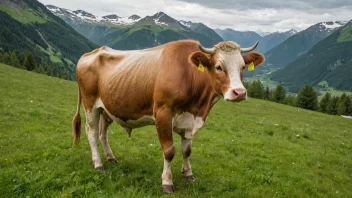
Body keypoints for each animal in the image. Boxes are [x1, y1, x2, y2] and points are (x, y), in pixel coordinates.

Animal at [71, 39, 264, 193]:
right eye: (218, 67)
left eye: (243, 67)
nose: (239, 93)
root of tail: (91, 53)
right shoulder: (163, 114)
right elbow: (169, 151)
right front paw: (167, 182)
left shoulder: (190, 120)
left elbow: (187, 150)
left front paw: (188, 174)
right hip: (90, 105)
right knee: (92, 132)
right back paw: (98, 164)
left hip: (107, 108)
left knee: (103, 133)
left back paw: (110, 157)